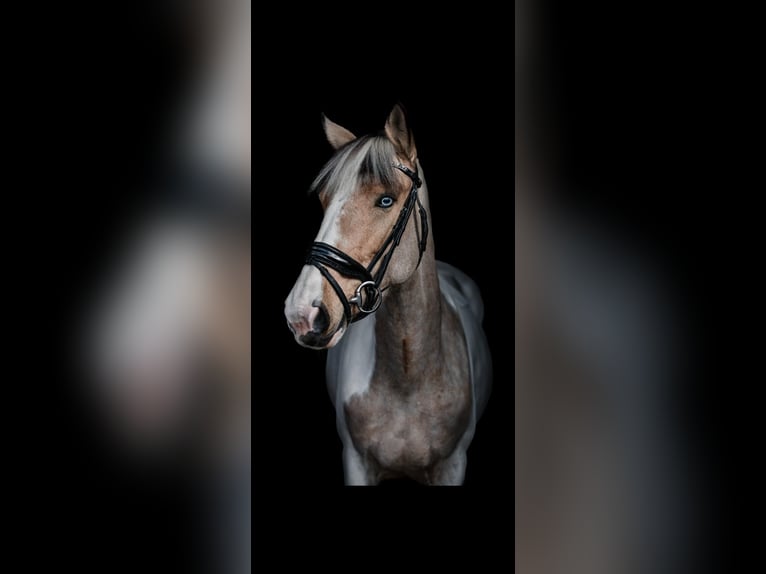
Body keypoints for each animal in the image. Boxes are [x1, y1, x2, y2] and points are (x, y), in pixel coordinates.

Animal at [284, 104, 496, 486]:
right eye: (324, 201)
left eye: (385, 200)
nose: (302, 314)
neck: (408, 380)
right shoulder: (356, 463)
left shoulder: (453, 466)